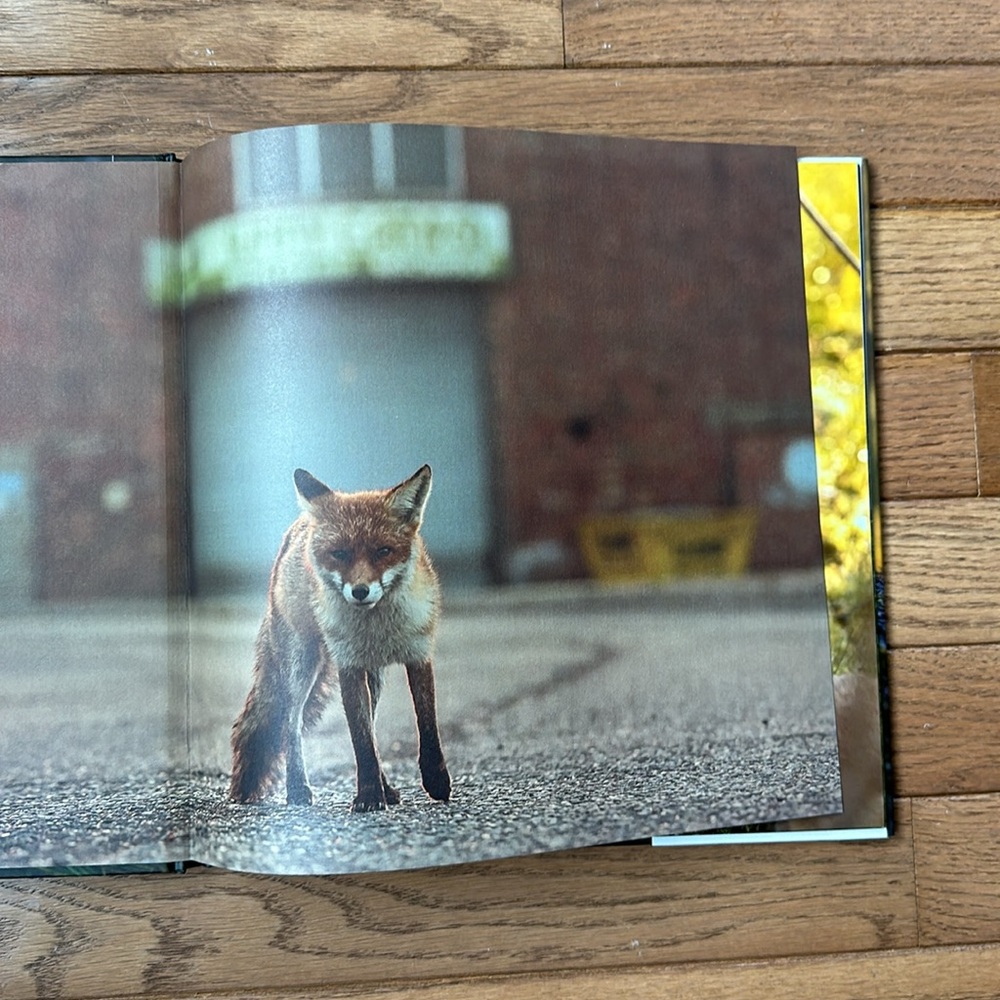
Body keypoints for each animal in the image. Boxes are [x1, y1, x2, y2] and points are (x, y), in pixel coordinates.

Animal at [229, 464, 451, 813]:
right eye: (339, 554)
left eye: (382, 551)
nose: (360, 591)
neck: (377, 628)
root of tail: (298, 526)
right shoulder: (349, 665)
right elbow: (360, 740)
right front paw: (369, 795)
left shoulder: (418, 654)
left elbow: (425, 725)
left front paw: (435, 780)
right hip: (302, 665)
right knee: (291, 722)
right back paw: (298, 788)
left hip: (374, 678)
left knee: (370, 725)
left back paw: (388, 789)